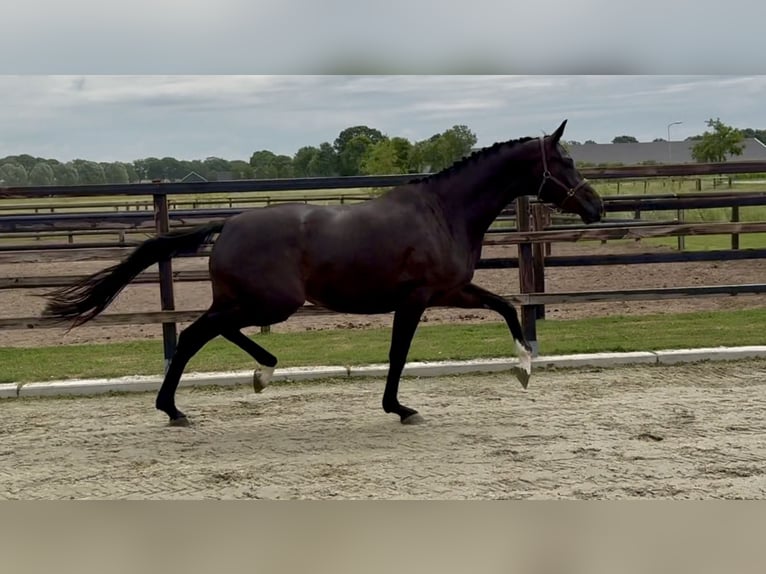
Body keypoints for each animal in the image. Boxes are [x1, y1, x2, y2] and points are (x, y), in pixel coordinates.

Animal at [44, 120, 603, 426]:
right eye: (566, 162)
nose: (596, 206)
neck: (443, 212)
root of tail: (230, 223)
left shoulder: (451, 290)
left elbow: (507, 306)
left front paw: (524, 368)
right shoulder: (418, 298)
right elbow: (399, 355)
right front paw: (400, 408)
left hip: (252, 302)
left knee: (208, 331)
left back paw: (253, 376)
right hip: (270, 303)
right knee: (196, 334)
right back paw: (192, 402)